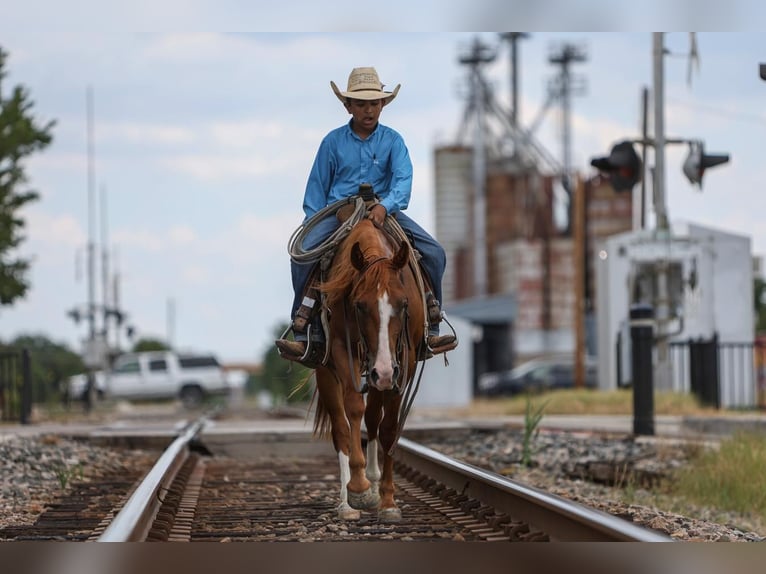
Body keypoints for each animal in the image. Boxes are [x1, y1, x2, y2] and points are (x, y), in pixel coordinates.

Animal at [316, 216, 428, 520]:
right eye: (359, 305)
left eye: (403, 303)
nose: (384, 371)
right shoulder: (342, 350)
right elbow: (354, 408)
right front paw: (359, 488)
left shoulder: (404, 361)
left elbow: (388, 428)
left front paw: (388, 501)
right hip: (332, 372)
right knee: (341, 428)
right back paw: (347, 502)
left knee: (374, 419)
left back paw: (375, 482)